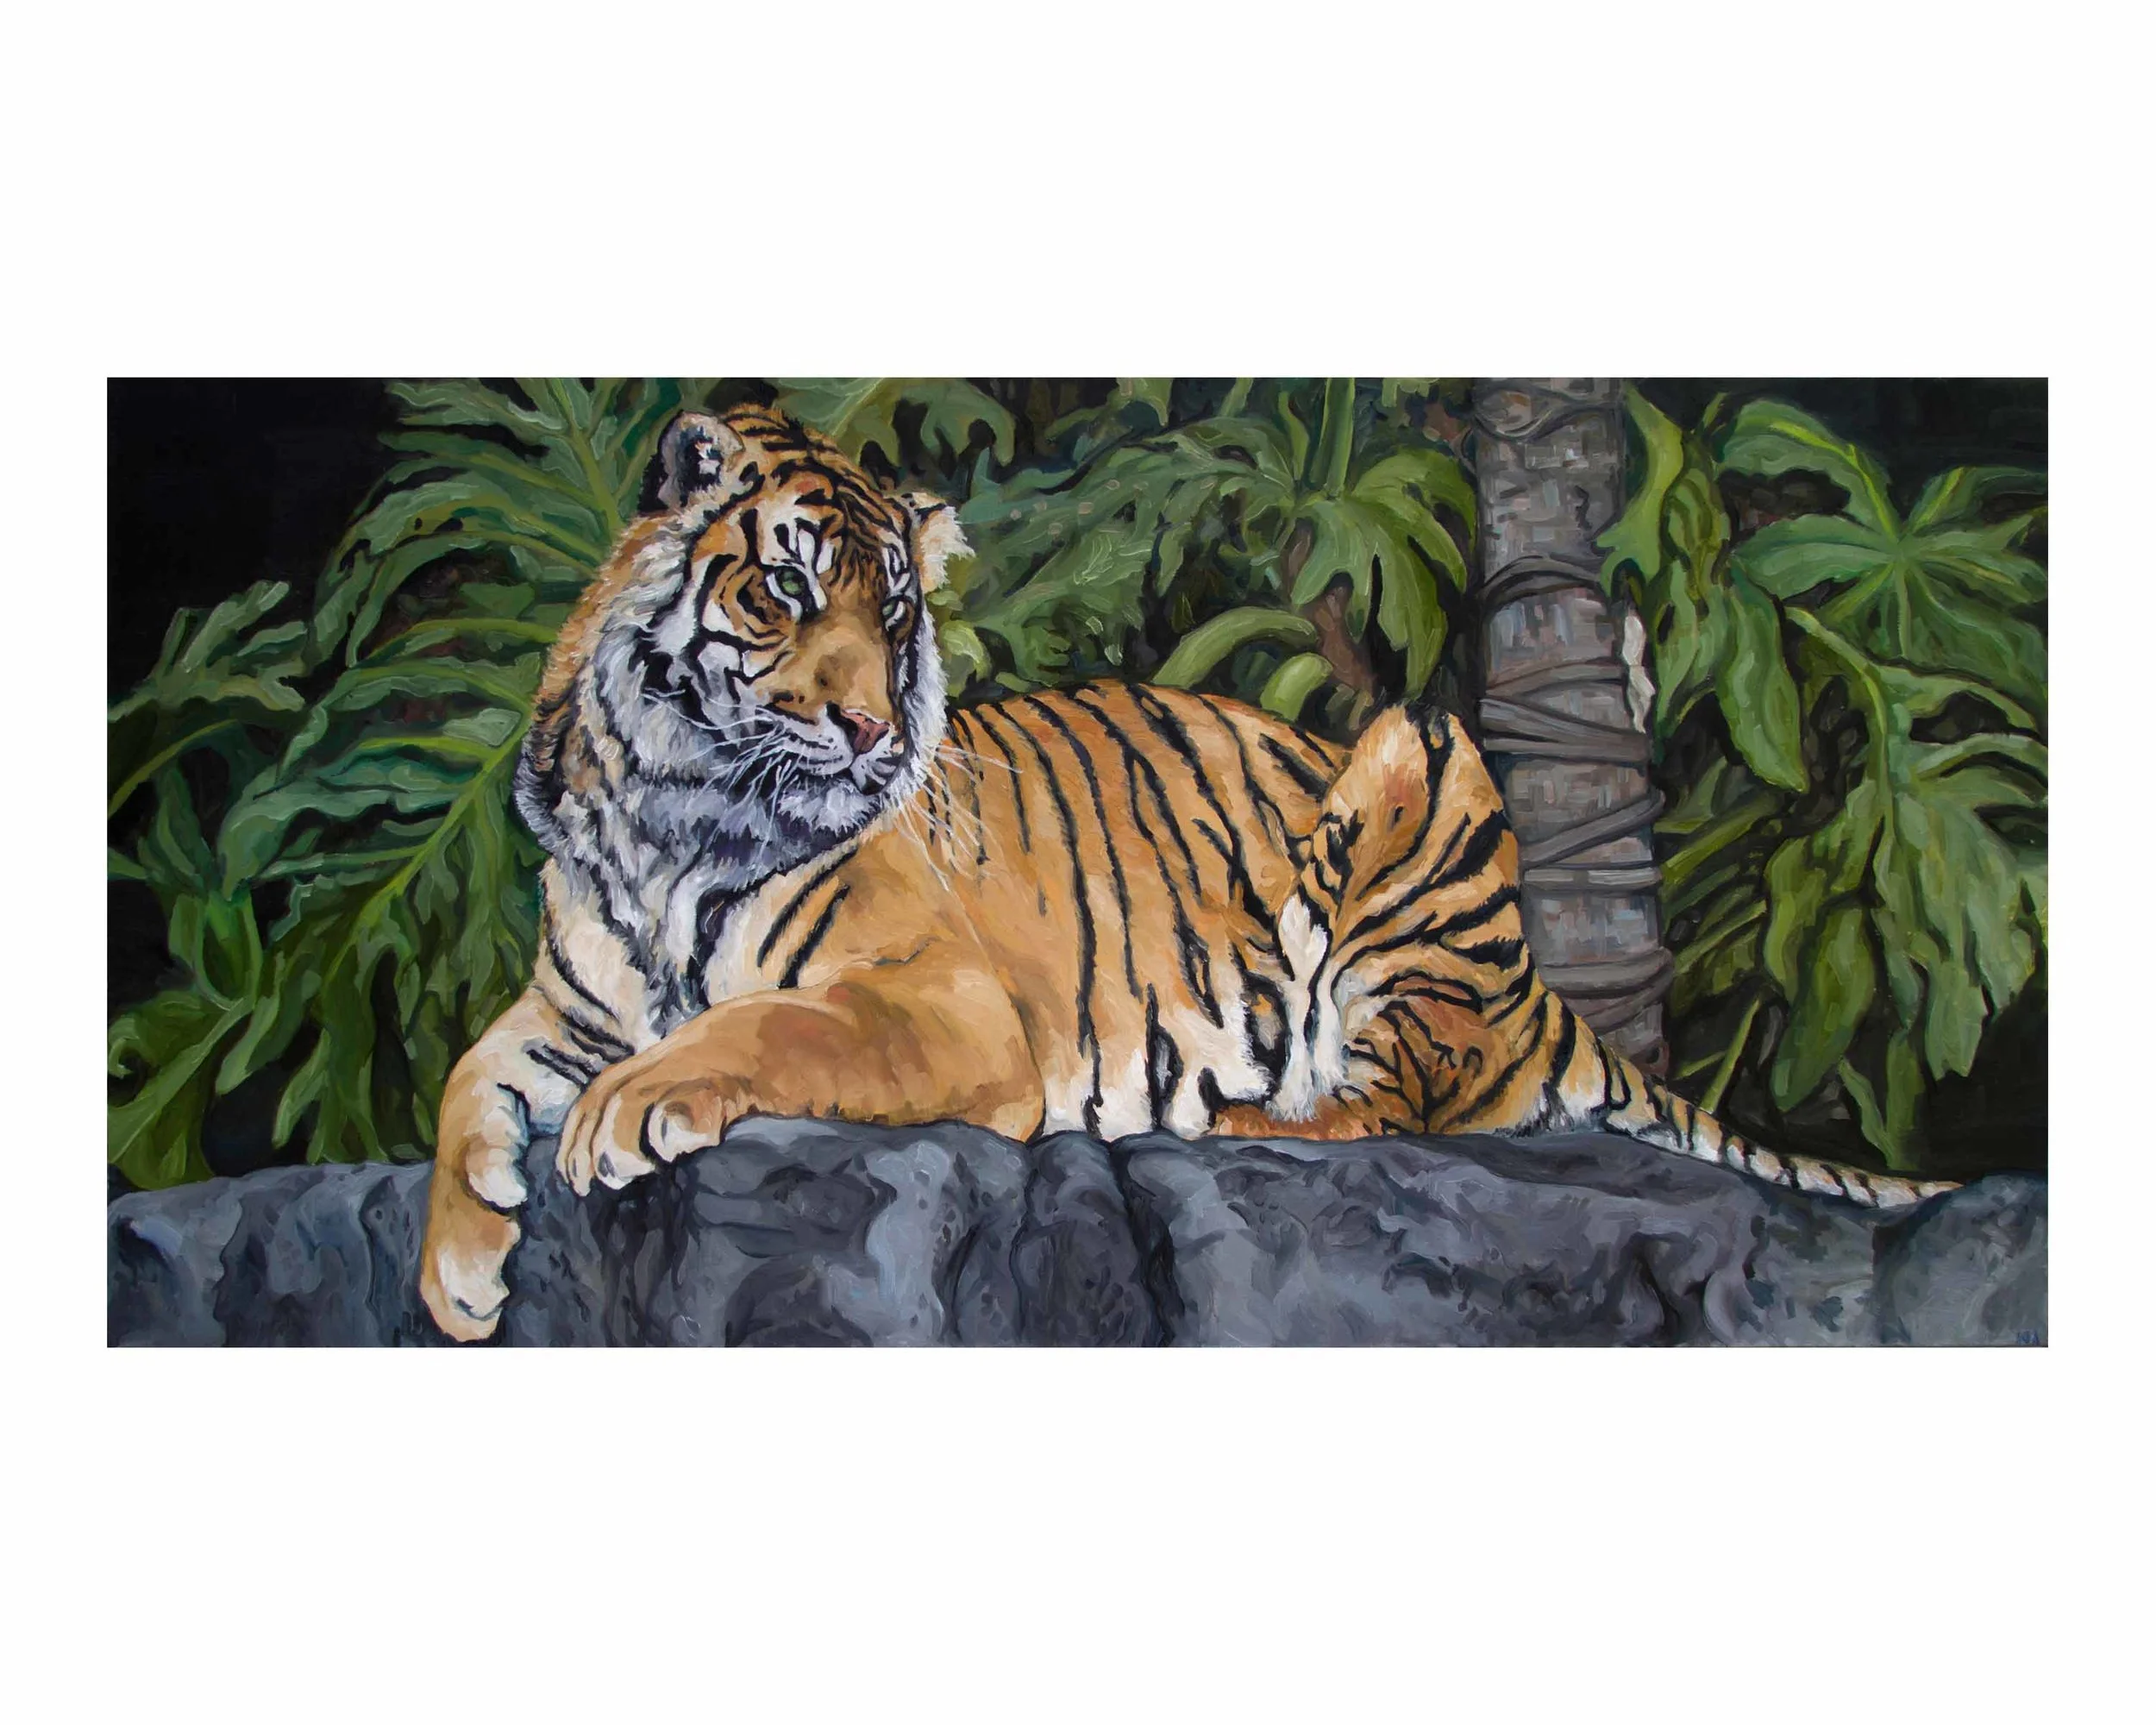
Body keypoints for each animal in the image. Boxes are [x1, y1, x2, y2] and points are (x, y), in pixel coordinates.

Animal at [418, 402, 1956, 1341]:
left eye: (896, 612)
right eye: (786, 589)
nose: (869, 729)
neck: (669, 815)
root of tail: (1538, 988)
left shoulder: (943, 1000)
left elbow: (770, 1025)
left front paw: (628, 1112)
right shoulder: (566, 999)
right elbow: (465, 1078)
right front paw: (457, 1274)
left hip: (1417, 764)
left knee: (1391, 1107)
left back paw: (1229, 1121)